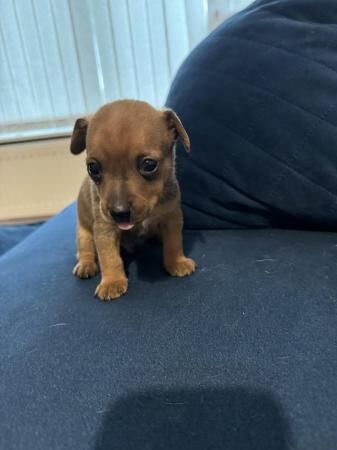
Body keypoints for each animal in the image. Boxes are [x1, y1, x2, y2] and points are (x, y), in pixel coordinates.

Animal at [71, 100, 196, 300]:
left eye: (149, 165)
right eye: (93, 168)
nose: (119, 212)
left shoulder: (171, 218)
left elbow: (174, 242)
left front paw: (177, 262)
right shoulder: (104, 229)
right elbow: (109, 257)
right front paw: (112, 282)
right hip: (83, 233)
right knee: (86, 250)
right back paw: (85, 265)